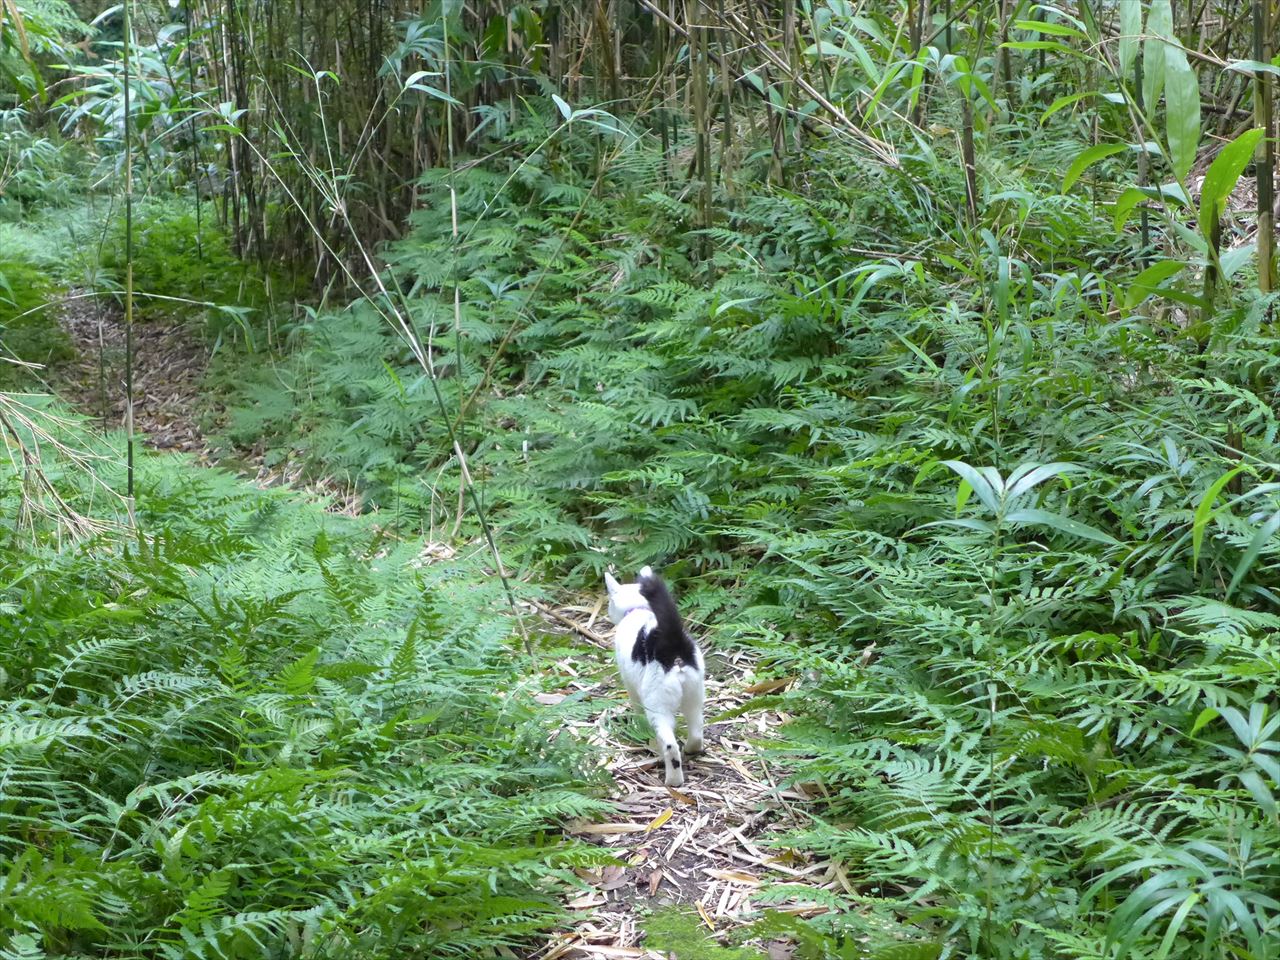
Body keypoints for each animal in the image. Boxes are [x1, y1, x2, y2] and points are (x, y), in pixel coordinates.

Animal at [604, 566, 706, 787]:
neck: (637, 610)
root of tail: (672, 640)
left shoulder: (630, 684)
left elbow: (636, 708)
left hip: (658, 705)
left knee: (670, 745)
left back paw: (673, 780)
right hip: (694, 696)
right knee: (696, 732)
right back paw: (691, 749)